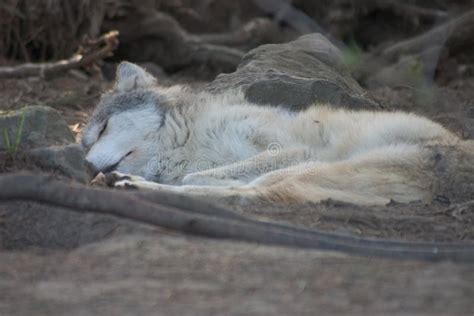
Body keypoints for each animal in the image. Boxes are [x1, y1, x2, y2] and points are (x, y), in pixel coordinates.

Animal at [82, 62, 474, 205]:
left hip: (317, 168)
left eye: (103, 128)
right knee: (249, 191)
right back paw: (133, 184)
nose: (85, 166)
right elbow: (201, 176)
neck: (188, 141)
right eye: (84, 145)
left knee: (253, 193)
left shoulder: (293, 149)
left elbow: (197, 176)